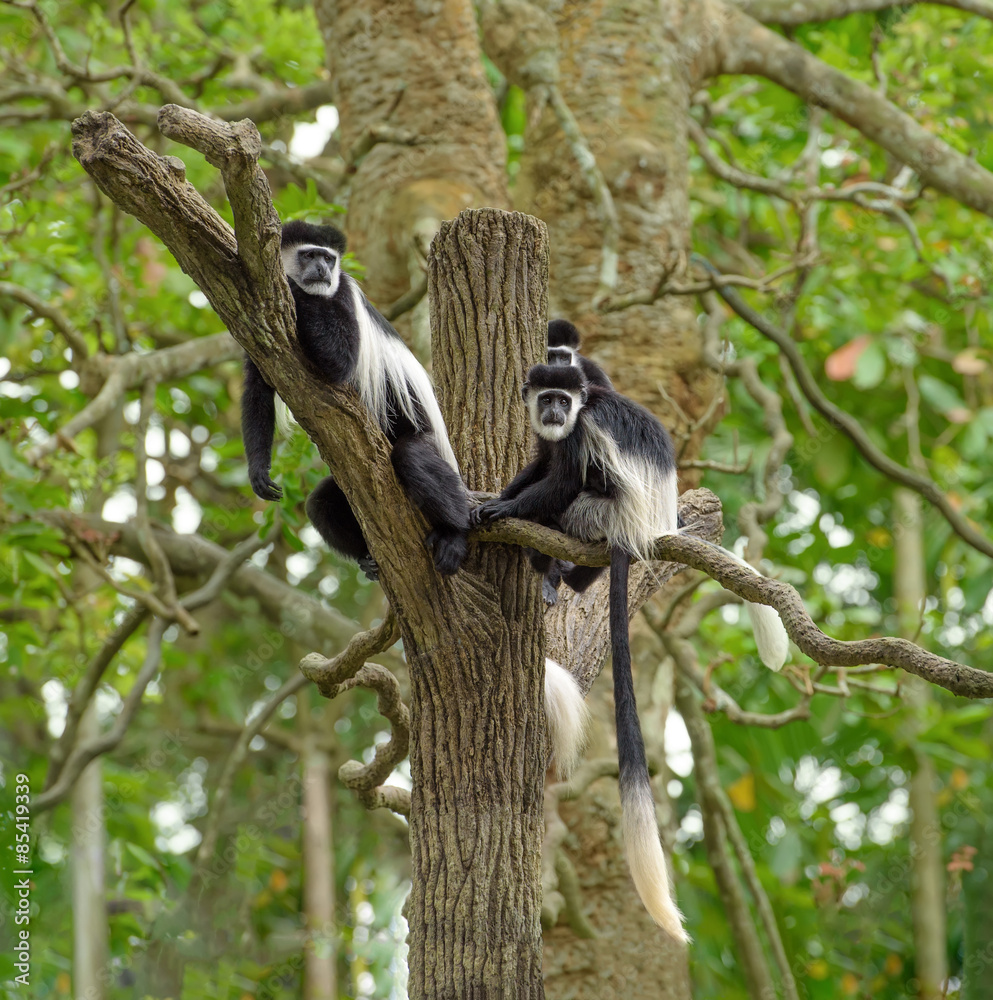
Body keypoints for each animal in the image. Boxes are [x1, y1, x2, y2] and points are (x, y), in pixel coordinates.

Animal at [242, 220, 469, 578]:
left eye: (328, 259)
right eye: (309, 255)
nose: (322, 270)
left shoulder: (343, 293)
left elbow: (340, 359)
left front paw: (293, 286)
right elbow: (258, 386)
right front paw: (259, 473)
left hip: (427, 439)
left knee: (414, 456)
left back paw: (455, 535)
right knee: (319, 503)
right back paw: (369, 560)